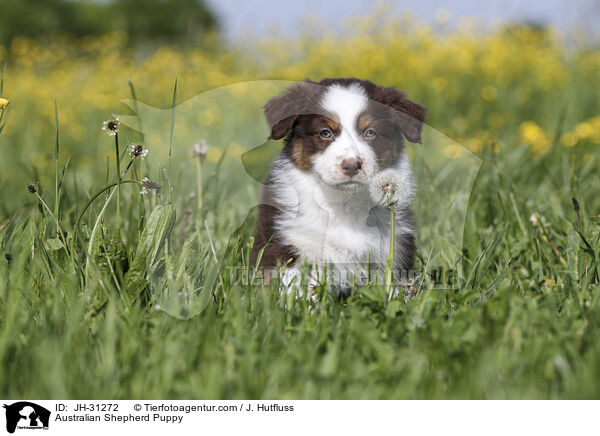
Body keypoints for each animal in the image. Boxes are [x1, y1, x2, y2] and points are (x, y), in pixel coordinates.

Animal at [248, 77, 426, 290]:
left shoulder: (393, 247)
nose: (351, 165)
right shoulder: (291, 243)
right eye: (325, 133)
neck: (343, 202)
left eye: (370, 132)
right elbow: (299, 288)